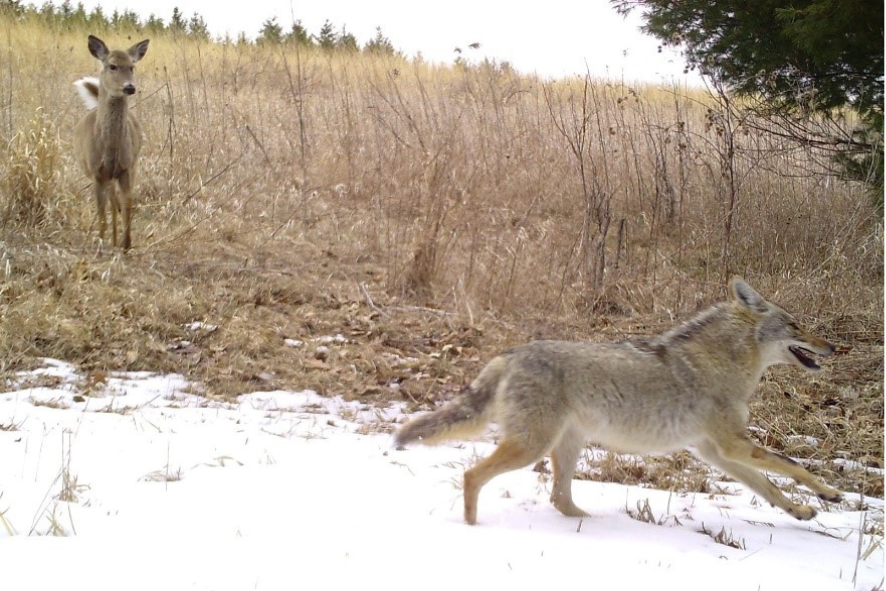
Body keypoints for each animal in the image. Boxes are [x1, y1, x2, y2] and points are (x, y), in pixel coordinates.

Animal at [73, 34, 150, 252]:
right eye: (112, 66)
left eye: (132, 66)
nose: (129, 87)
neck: (109, 149)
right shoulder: (97, 173)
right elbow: (101, 214)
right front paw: (101, 243)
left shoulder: (126, 168)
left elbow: (127, 207)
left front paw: (126, 246)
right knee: (110, 203)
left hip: (131, 166)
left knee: (116, 202)